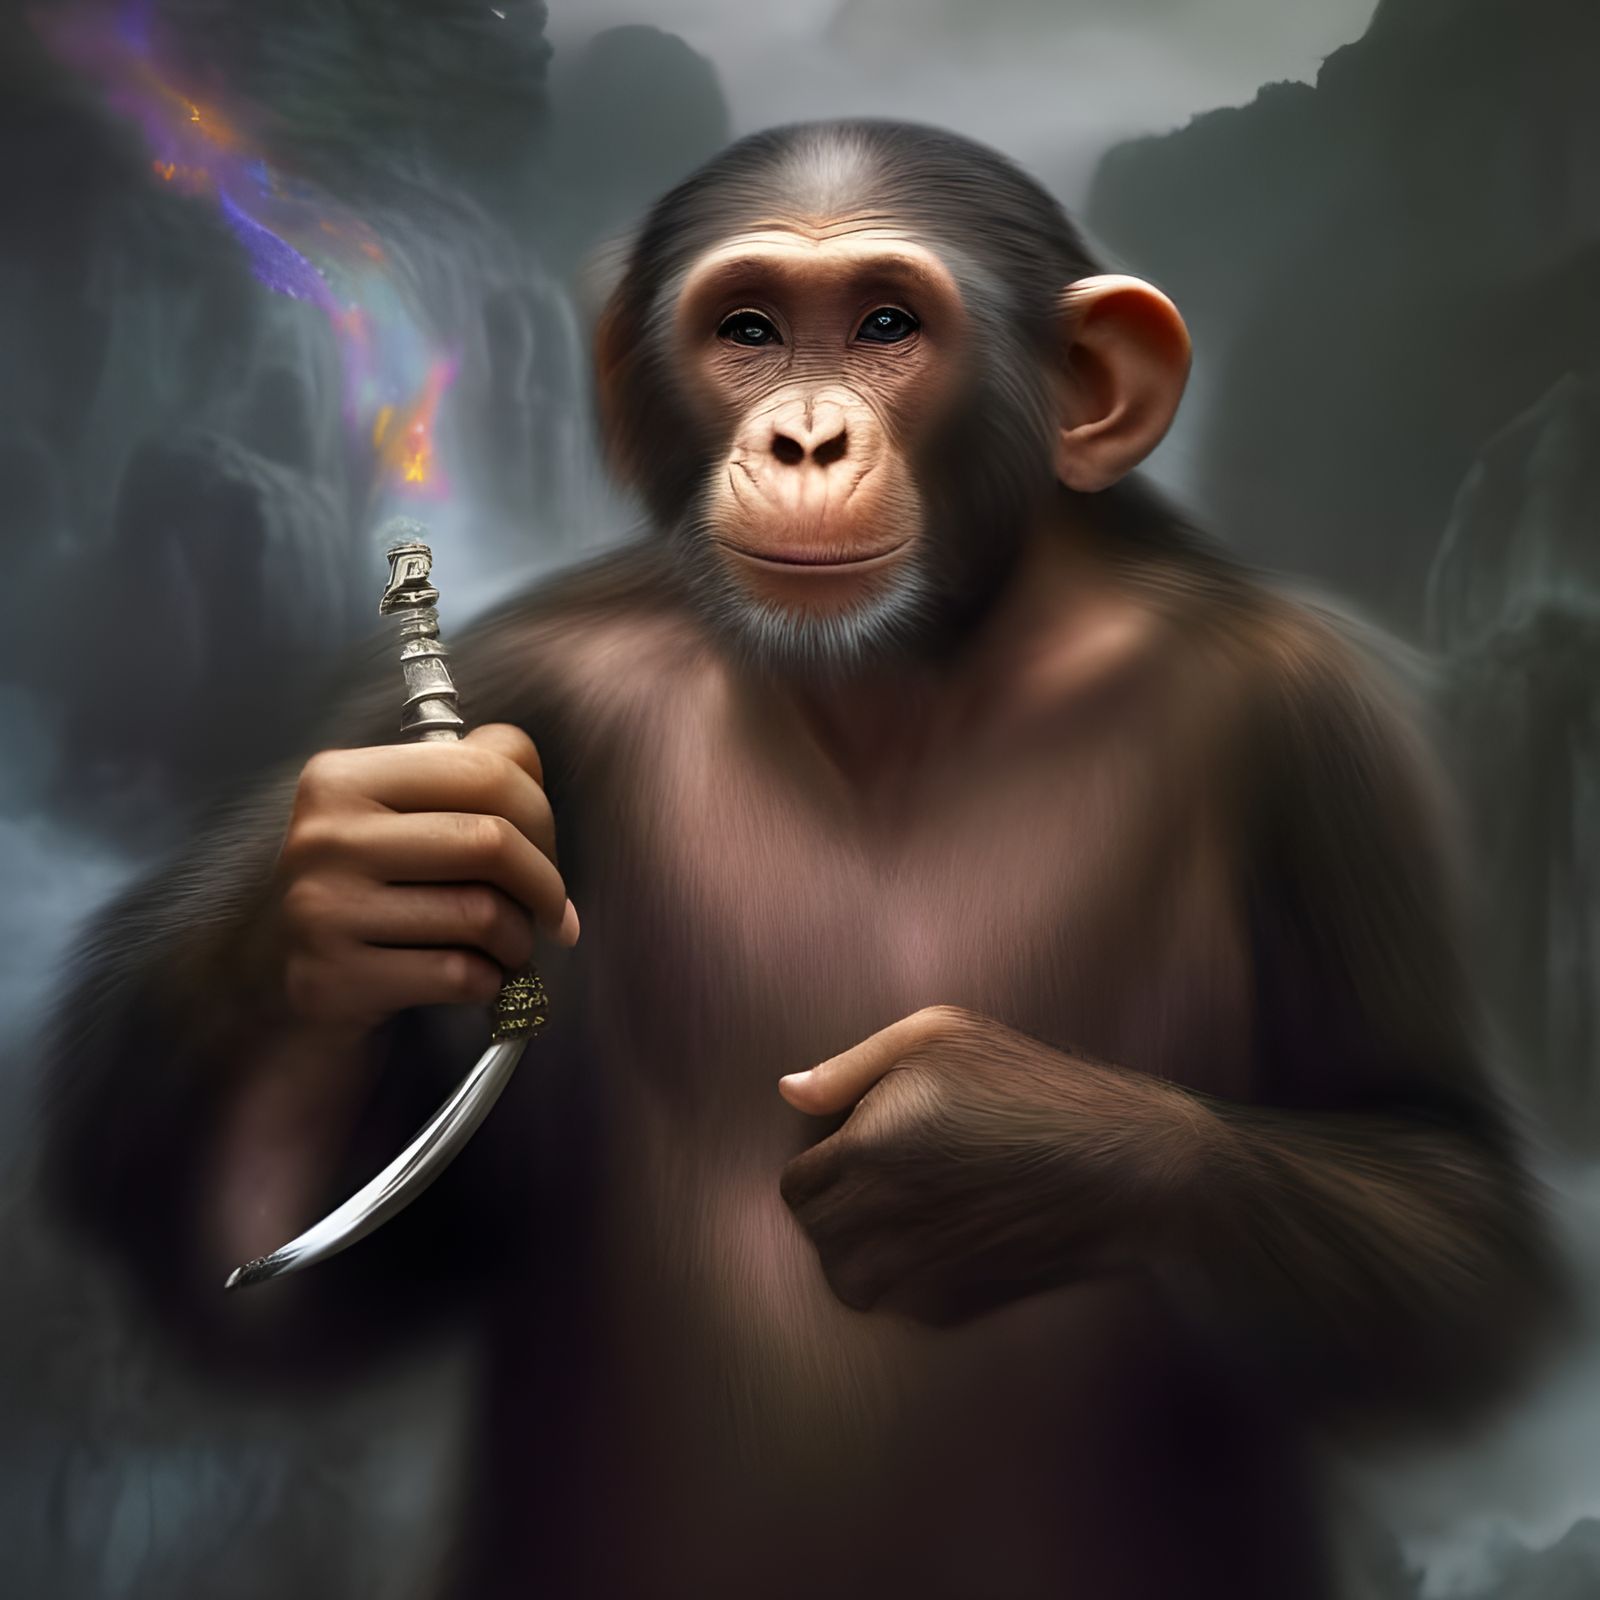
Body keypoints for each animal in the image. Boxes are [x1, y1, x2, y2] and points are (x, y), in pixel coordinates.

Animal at [42, 120, 1566, 1600]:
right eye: (752, 332)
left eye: (887, 324)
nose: (805, 441)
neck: (905, 682)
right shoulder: (539, 665)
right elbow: (322, 1292)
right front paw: (372, 880)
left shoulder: (1320, 731)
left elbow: (1450, 1192)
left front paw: (995, 1150)